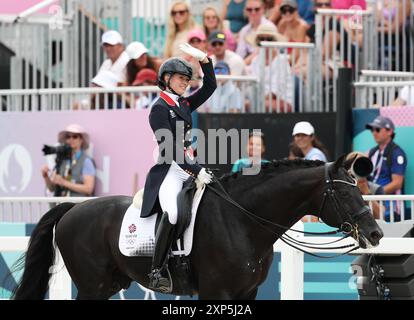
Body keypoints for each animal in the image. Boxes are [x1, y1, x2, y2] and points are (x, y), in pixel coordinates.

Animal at [12, 158, 382, 300]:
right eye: (345, 193)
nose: (376, 233)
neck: (243, 220)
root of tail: (72, 209)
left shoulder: (247, 292)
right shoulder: (216, 292)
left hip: (110, 283)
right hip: (93, 285)